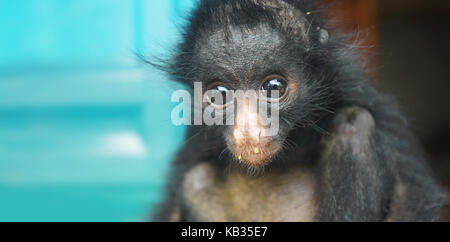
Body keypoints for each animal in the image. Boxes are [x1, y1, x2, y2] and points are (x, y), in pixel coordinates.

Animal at [150, 0, 442, 222]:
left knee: (355, 125)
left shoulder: (356, 91)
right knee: (196, 181)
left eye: (274, 87)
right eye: (219, 94)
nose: (248, 130)